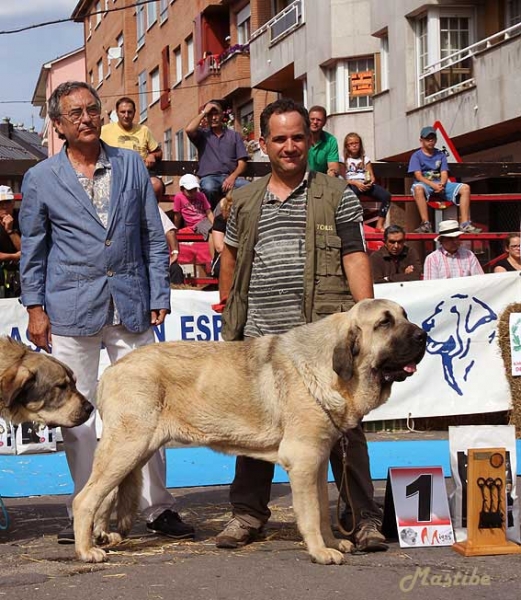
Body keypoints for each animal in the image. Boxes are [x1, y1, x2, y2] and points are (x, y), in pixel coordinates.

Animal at [74, 300, 426, 568]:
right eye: (384, 323)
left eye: (405, 315)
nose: (423, 335)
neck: (331, 368)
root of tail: (112, 370)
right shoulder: (303, 459)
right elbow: (311, 513)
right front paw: (319, 551)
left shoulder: (317, 461)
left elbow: (322, 512)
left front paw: (332, 543)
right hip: (127, 446)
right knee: (84, 499)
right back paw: (87, 550)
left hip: (135, 450)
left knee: (104, 496)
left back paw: (103, 536)